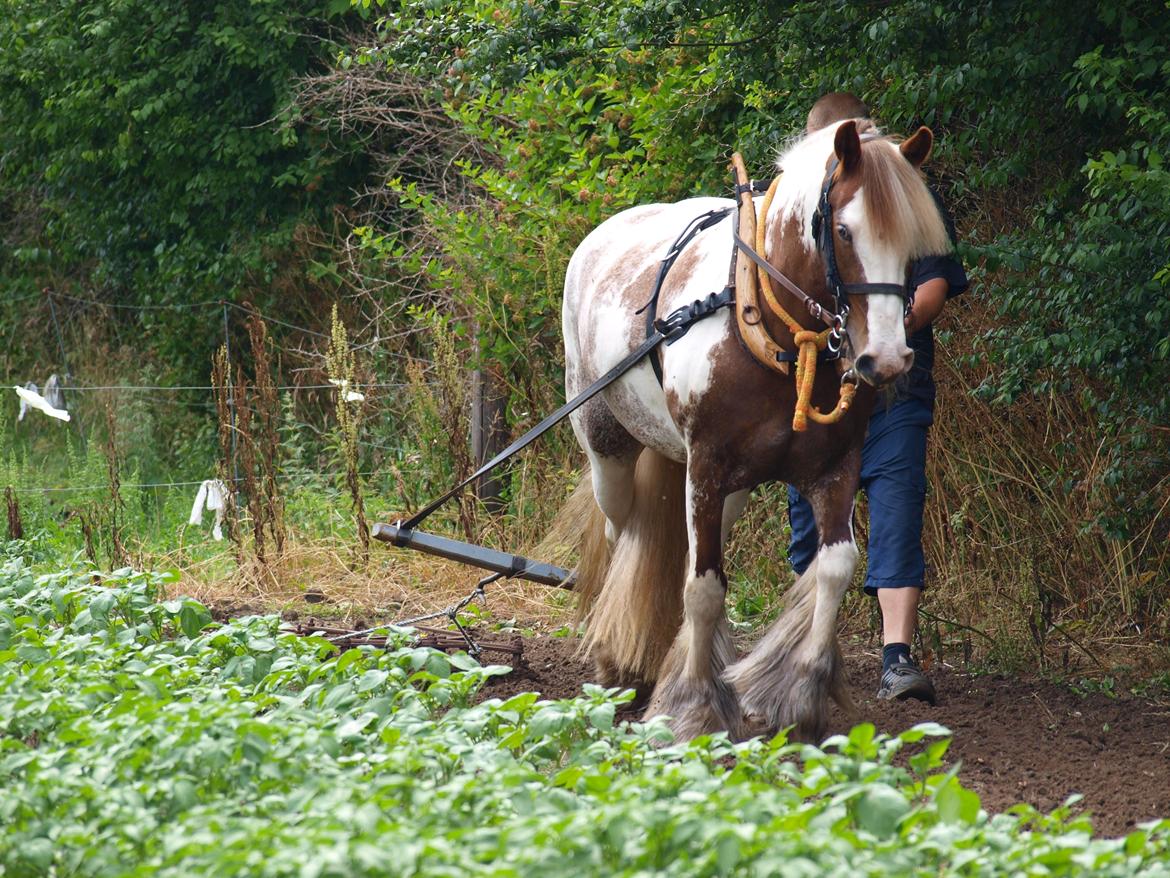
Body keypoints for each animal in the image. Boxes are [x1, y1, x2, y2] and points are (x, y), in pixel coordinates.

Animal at [554, 118, 950, 744]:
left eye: (914, 247)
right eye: (843, 230)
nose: (886, 360)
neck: (780, 335)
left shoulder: (835, 465)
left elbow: (835, 568)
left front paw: (800, 698)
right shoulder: (705, 465)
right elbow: (704, 587)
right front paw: (693, 708)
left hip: (726, 488)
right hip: (609, 449)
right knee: (623, 537)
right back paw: (618, 663)